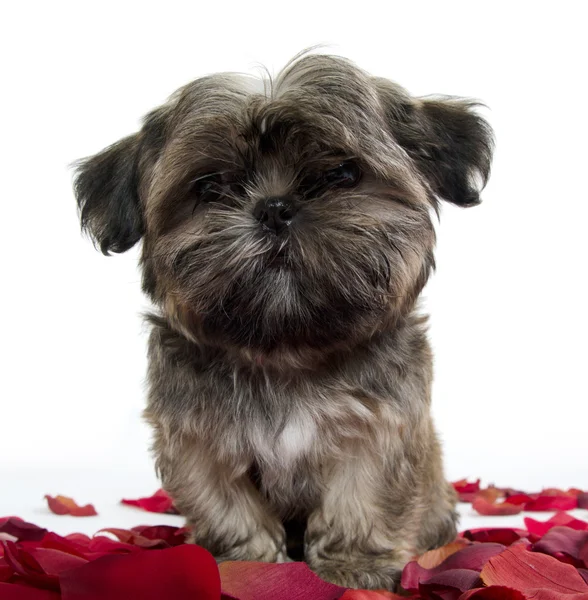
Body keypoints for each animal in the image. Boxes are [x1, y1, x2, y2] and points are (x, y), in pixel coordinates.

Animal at [76, 52, 494, 592]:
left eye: (342, 173)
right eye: (209, 187)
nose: (274, 208)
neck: (286, 351)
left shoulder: (377, 433)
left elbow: (361, 499)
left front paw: (353, 565)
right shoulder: (199, 443)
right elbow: (229, 508)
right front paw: (245, 566)